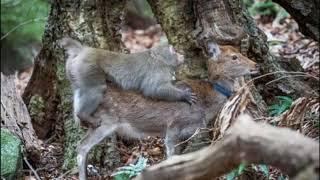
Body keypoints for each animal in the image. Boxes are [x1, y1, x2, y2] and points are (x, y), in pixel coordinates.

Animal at [58, 37, 196, 128]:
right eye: (174, 51)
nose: (182, 55)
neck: (159, 59)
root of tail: (83, 50)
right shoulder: (159, 69)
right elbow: (153, 89)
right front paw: (184, 95)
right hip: (87, 67)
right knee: (96, 89)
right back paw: (83, 115)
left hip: (73, 69)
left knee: (79, 89)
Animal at [75, 42, 260, 180]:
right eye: (234, 57)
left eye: (239, 52)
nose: (256, 65)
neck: (205, 106)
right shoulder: (174, 126)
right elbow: (171, 158)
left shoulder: (187, 132)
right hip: (105, 121)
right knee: (82, 146)